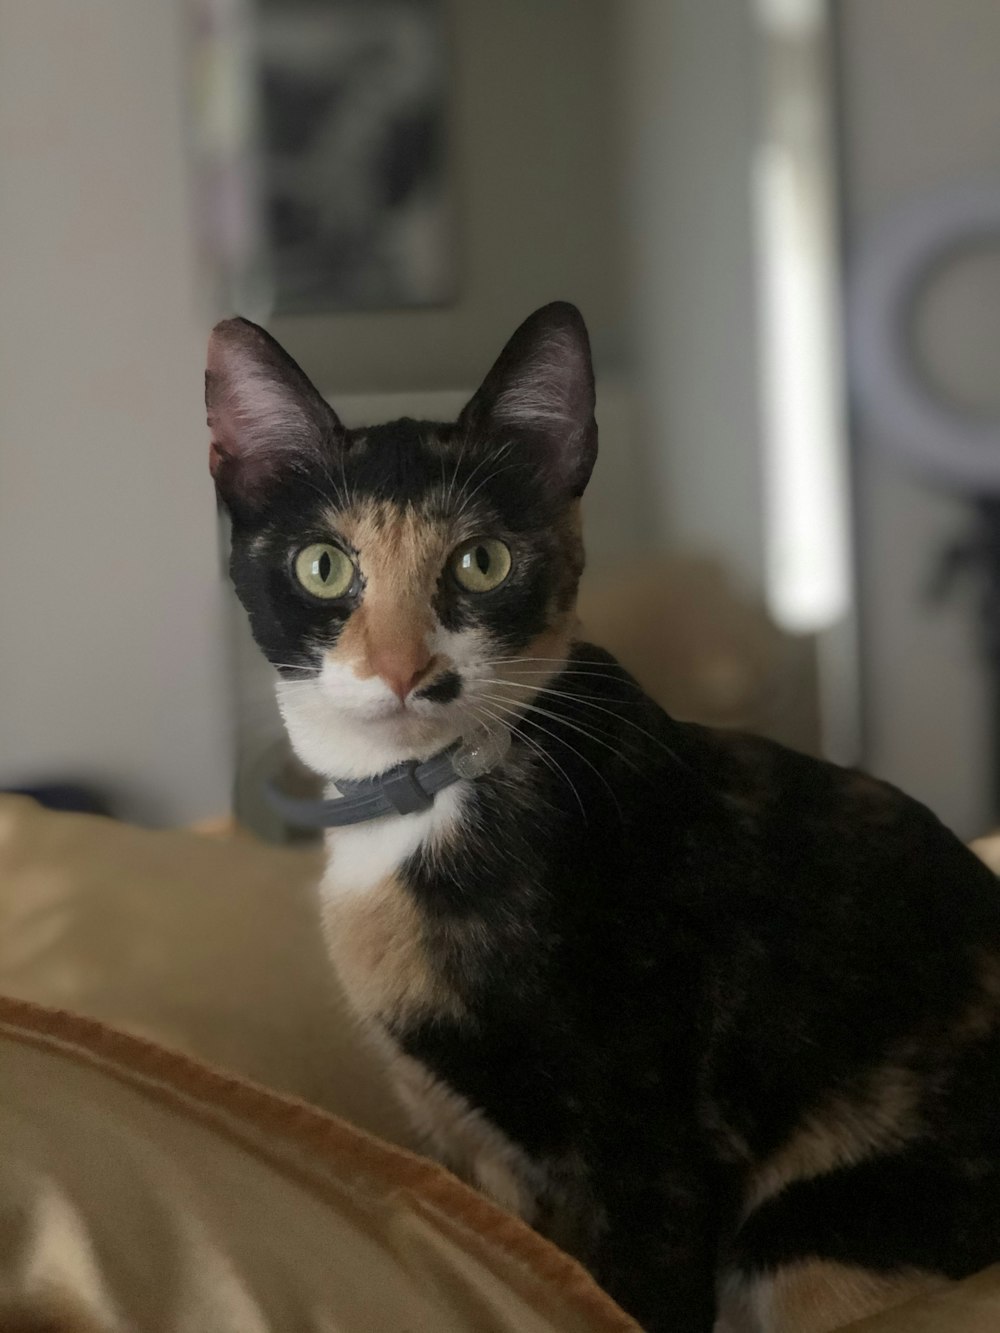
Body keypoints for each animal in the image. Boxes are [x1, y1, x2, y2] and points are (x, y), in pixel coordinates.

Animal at [204, 302, 1000, 1333]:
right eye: (324, 565)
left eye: (483, 560)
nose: (404, 670)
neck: (425, 803)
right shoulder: (481, 1152)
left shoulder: (648, 1142)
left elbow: (635, 1292)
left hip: (818, 1232)